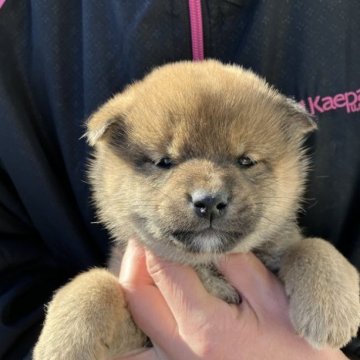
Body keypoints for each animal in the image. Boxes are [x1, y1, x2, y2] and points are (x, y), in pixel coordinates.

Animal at [33, 60, 360, 358]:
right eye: (165, 162)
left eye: (245, 160)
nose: (209, 201)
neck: (208, 264)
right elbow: (95, 283)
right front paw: (63, 345)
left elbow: (312, 247)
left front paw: (330, 310)